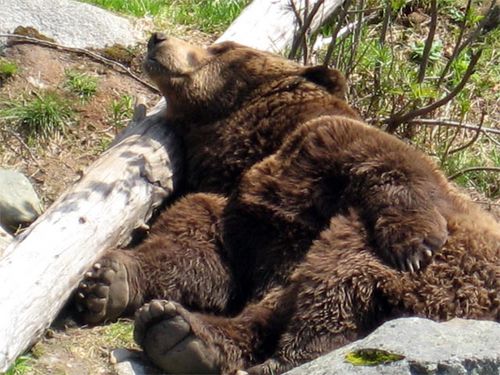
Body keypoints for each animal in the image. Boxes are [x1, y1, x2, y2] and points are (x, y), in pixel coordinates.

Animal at [75, 34, 500, 374]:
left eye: (223, 48)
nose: (157, 38)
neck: (253, 143)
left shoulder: (322, 142)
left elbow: (393, 165)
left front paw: (415, 243)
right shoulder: (237, 212)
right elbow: (201, 253)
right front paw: (108, 279)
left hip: (453, 279)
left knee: (339, 272)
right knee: (276, 305)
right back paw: (176, 332)